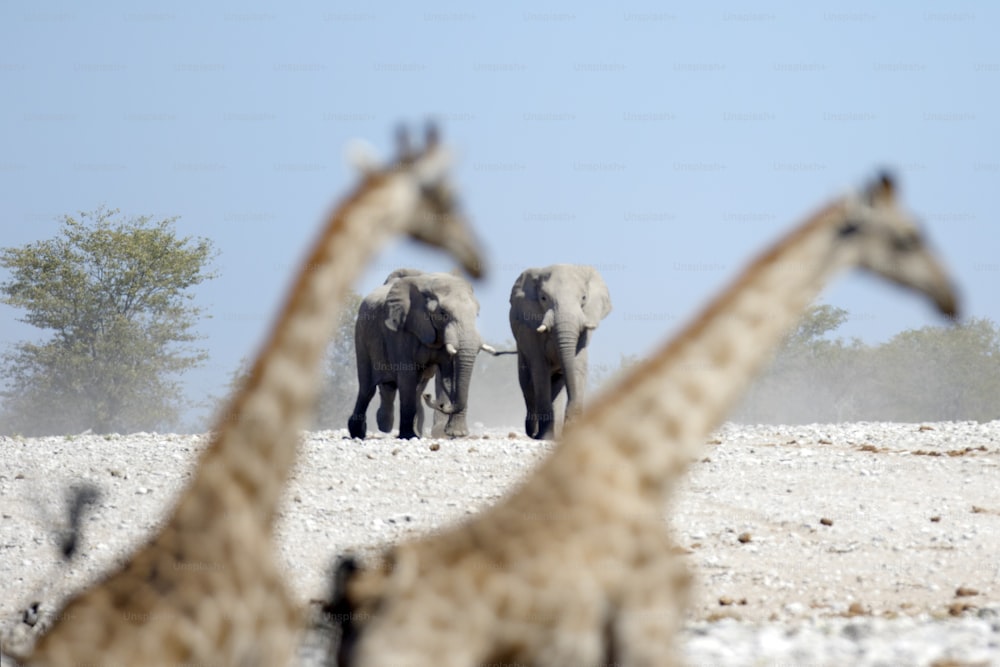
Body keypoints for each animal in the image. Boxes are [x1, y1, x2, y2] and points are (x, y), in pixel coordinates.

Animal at [350, 268, 490, 440]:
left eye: (477, 314)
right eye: (443, 313)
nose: (434, 399)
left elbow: (449, 376)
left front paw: (456, 434)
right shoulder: (402, 331)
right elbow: (407, 376)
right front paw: (408, 436)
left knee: (407, 387)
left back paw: (388, 426)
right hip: (361, 335)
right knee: (367, 388)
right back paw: (360, 432)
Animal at [512, 264, 612, 440]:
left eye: (584, 298)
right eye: (543, 298)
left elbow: (578, 365)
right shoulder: (530, 327)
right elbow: (540, 370)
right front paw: (545, 437)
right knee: (527, 385)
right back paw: (532, 433)